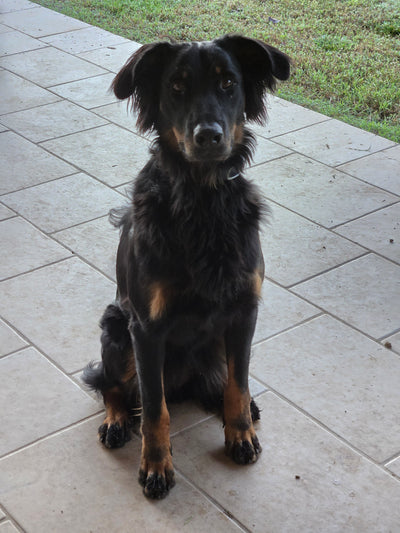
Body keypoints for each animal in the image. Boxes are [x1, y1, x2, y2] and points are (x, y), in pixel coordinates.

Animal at [84, 34, 290, 498]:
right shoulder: (146, 328)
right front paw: (156, 465)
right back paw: (116, 421)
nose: (208, 136)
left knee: (221, 380)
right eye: (176, 87)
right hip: (115, 327)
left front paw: (240, 434)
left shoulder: (243, 310)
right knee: (113, 386)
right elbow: (153, 408)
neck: (203, 197)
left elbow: (238, 383)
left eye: (228, 83)